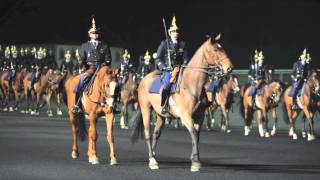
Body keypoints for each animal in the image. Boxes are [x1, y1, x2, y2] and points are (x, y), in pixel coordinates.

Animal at [130, 34, 232, 172]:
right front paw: (195, 162)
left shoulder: (199, 117)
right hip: (146, 109)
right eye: (215, 50)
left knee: (156, 133)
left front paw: (194, 159)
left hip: (160, 114)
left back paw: (154, 155)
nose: (229, 68)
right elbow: (193, 134)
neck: (191, 84)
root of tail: (144, 79)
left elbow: (197, 136)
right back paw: (152, 160)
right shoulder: (185, 116)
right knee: (148, 134)